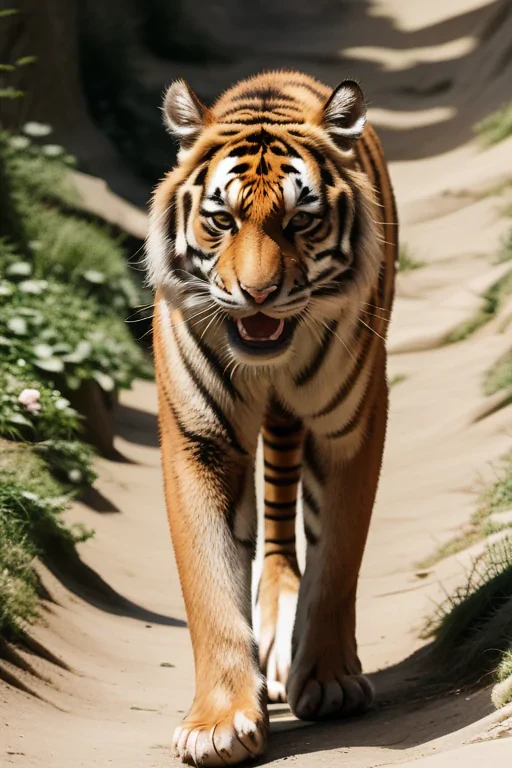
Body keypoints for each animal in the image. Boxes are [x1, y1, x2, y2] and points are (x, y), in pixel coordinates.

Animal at [146, 69, 397, 766]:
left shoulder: (350, 427)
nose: (257, 295)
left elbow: (337, 559)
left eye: (300, 221)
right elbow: (207, 580)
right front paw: (218, 724)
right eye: (222, 220)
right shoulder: (201, 439)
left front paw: (330, 681)